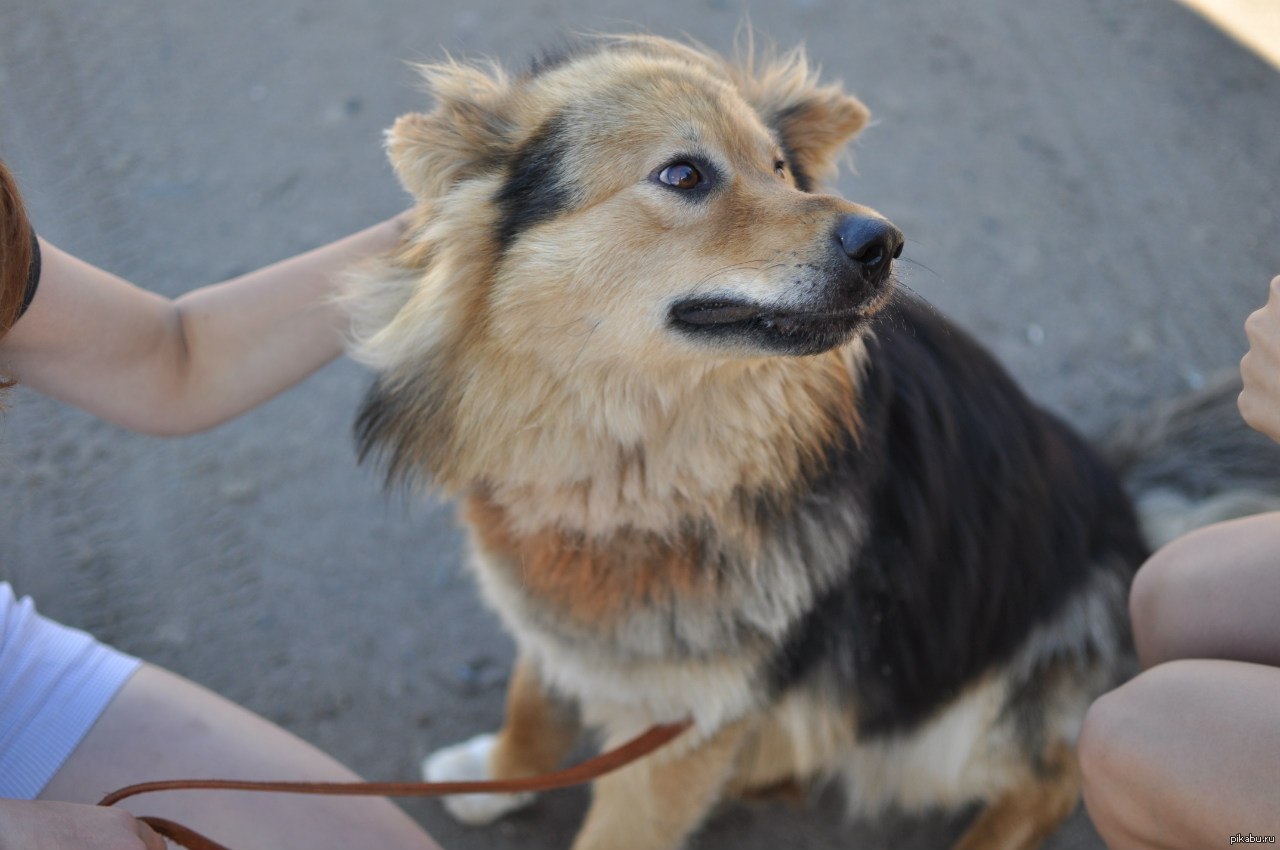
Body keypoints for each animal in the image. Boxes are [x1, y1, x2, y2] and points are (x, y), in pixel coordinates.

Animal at [345, 33, 1254, 850]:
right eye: (684, 173)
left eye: (781, 168)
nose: (883, 242)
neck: (632, 463)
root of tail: (1127, 507)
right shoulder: (572, 624)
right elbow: (532, 704)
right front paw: (499, 774)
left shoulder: (688, 714)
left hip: (957, 718)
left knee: (1055, 775)